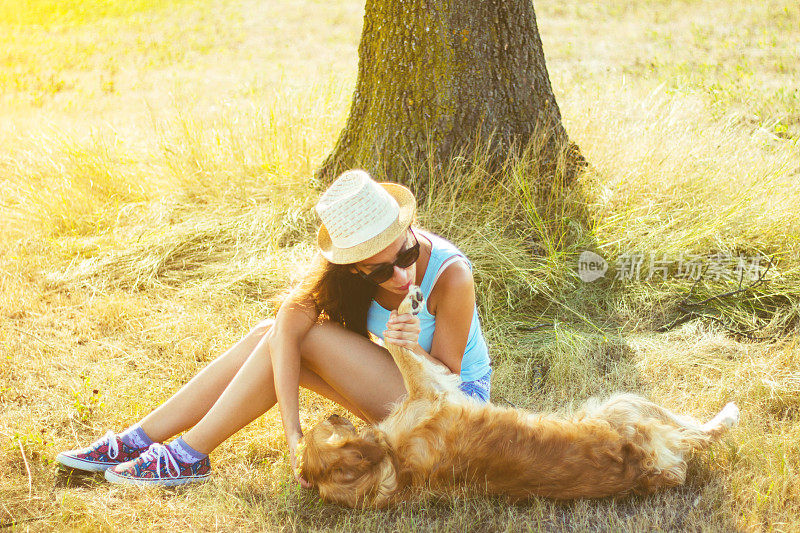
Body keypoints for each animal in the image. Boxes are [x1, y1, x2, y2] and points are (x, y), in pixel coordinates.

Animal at [298, 284, 736, 510]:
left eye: (314, 433)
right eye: (326, 432)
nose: (332, 417)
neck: (391, 460)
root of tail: (659, 469)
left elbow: (396, 341)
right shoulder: (433, 388)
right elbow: (394, 342)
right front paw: (409, 303)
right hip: (623, 401)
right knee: (700, 428)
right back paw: (729, 413)